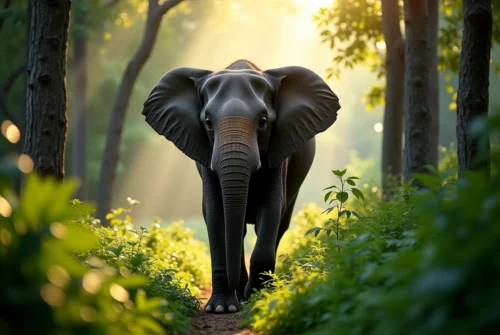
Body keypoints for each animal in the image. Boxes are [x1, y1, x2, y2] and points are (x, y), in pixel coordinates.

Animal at [141, 59, 340, 314]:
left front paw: (257, 300)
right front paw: (221, 308)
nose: (239, 290)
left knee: (280, 225)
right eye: (208, 123)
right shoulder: (206, 158)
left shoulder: (279, 154)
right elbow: (215, 214)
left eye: (263, 122)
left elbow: (271, 209)